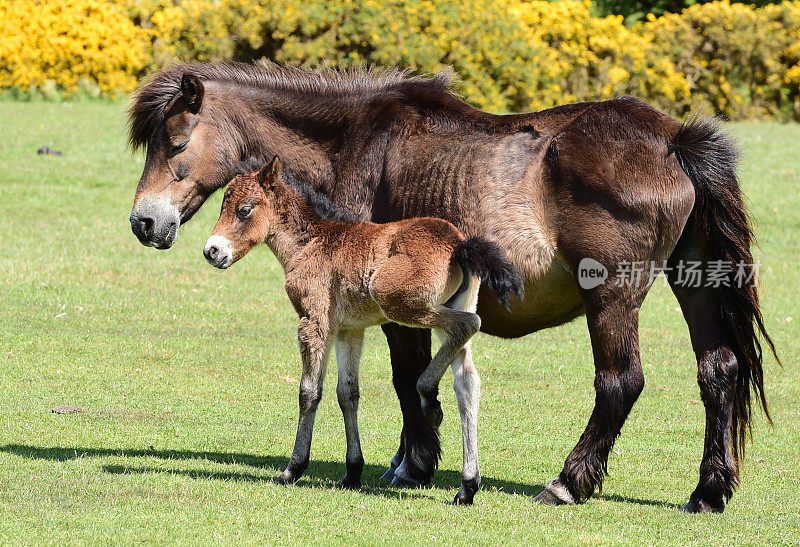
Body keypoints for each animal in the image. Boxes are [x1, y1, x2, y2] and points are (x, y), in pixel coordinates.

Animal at [203, 155, 520, 506]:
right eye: (222, 205)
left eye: (244, 210)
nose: (212, 251)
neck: (311, 242)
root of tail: (460, 244)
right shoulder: (348, 330)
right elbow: (348, 394)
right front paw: (352, 472)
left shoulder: (315, 322)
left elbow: (309, 392)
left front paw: (293, 469)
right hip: (453, 304)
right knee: (467, 383)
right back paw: (467, 487)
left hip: (397, 300)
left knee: (467, 326)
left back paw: (427, 393)